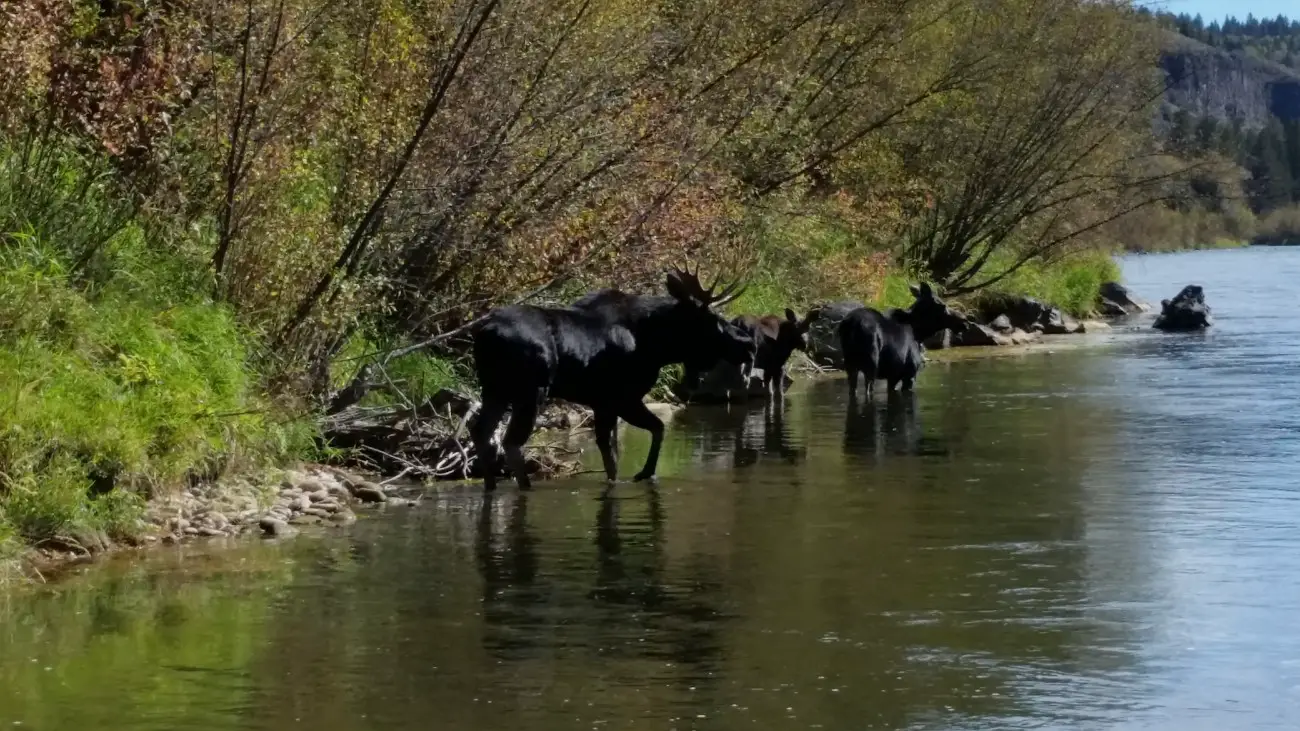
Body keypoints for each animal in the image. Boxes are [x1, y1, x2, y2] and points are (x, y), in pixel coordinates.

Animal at [470, 266, 754, 489]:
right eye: (713, 319)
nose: (748, 343)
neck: (658, 346)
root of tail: (484, 332)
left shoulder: (603, 403)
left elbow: (613, 456)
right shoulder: (621, 398)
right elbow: (654, 430)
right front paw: (644, 473)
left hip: (494, 389)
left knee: (481, 432)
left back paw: (490, 485)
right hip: (530, 391)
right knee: (510, 441)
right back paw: (525, 486)